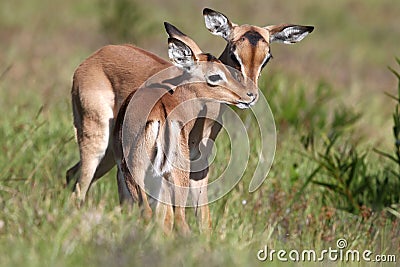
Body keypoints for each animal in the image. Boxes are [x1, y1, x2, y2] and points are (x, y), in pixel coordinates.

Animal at [114, 38, 255, 234]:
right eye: (216, 76)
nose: (249, 95)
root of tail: (160, 115)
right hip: (172, 176)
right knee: (177, 219)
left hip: (138, 173)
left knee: (153, 214)